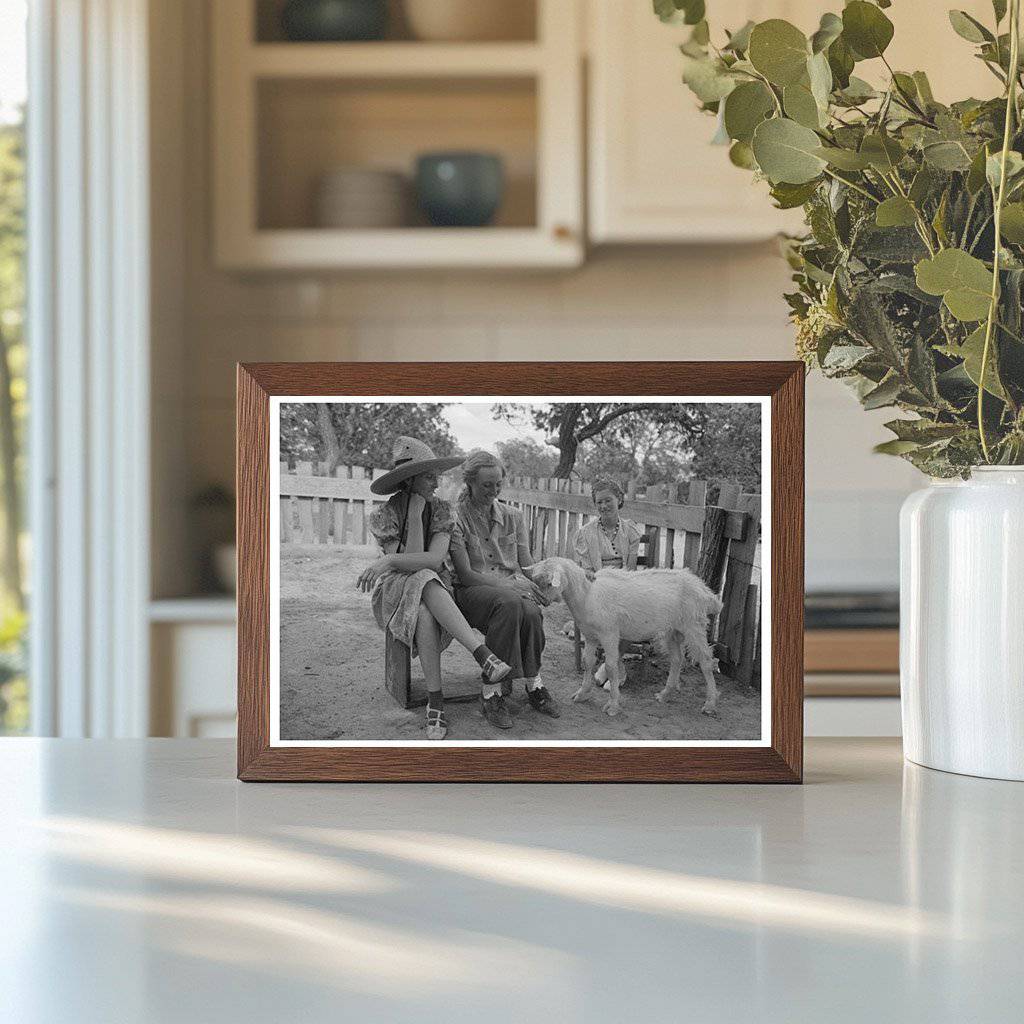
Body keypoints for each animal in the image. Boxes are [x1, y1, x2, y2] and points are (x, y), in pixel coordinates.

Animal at [528, 557, 720, 716]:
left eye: (549, 583)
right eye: (536, 581)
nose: (542, 601)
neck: (587, 595)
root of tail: (704, 590)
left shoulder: (609, 634)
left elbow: (611, 667)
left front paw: (613, 705)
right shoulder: (590, 636)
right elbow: (587, 662)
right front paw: (582, 694)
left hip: (694, 624)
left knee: (706, 661)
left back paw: (710, 704)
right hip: (672, 630)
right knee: (677, 660)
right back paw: (665, 694)